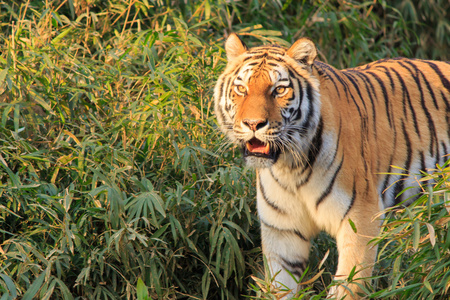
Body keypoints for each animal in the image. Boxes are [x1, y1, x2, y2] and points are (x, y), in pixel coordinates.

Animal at [214, 32, 450, 298]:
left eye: (279, 90)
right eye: (241, 89)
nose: (253, 124)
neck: (289, 167)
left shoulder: (361, 221)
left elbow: (347, 286)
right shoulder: (282, 232)